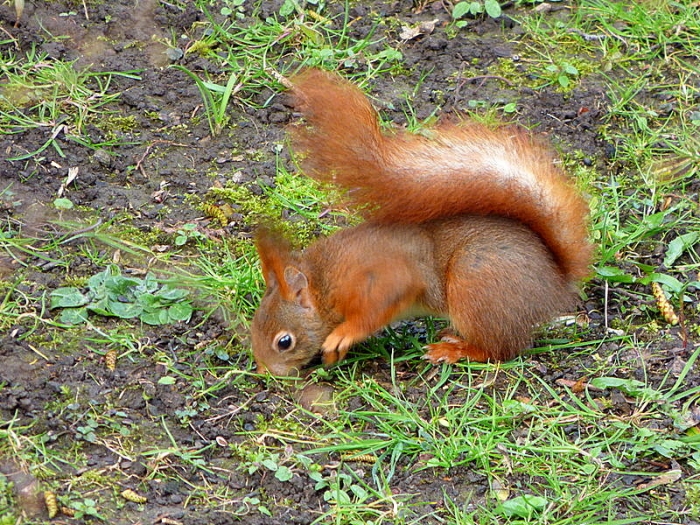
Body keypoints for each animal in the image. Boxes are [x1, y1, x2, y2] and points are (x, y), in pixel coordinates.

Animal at [251, 68, 593, 376]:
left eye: (284, 341)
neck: (323, 282)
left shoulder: (382, 279)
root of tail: (556, 283)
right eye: (253, 327)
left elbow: (377, 307)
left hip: (476, 283)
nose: (266, 372)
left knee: (499, 350)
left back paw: (455, 350)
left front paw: (344, 335)